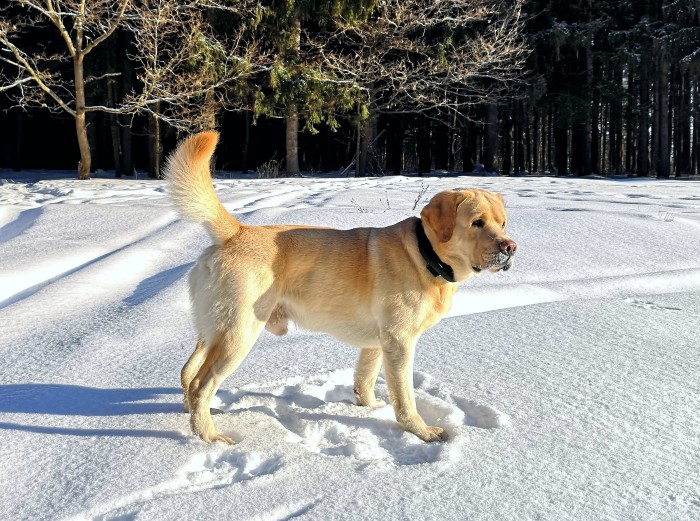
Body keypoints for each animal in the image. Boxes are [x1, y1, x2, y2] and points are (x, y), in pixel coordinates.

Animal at [163, 130, 516, 442]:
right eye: (477, 222)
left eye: (503, 223)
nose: (510, 247)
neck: (424, 254)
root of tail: (238, 230)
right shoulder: (400, 342)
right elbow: (405, 398)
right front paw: (422, 432)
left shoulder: (377, 342)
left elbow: (365, 379)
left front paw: (369, 408)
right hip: (239, 333)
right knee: (201, 384)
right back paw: (209, 437)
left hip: (213, 329)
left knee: (187, 373)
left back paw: (195, 418)